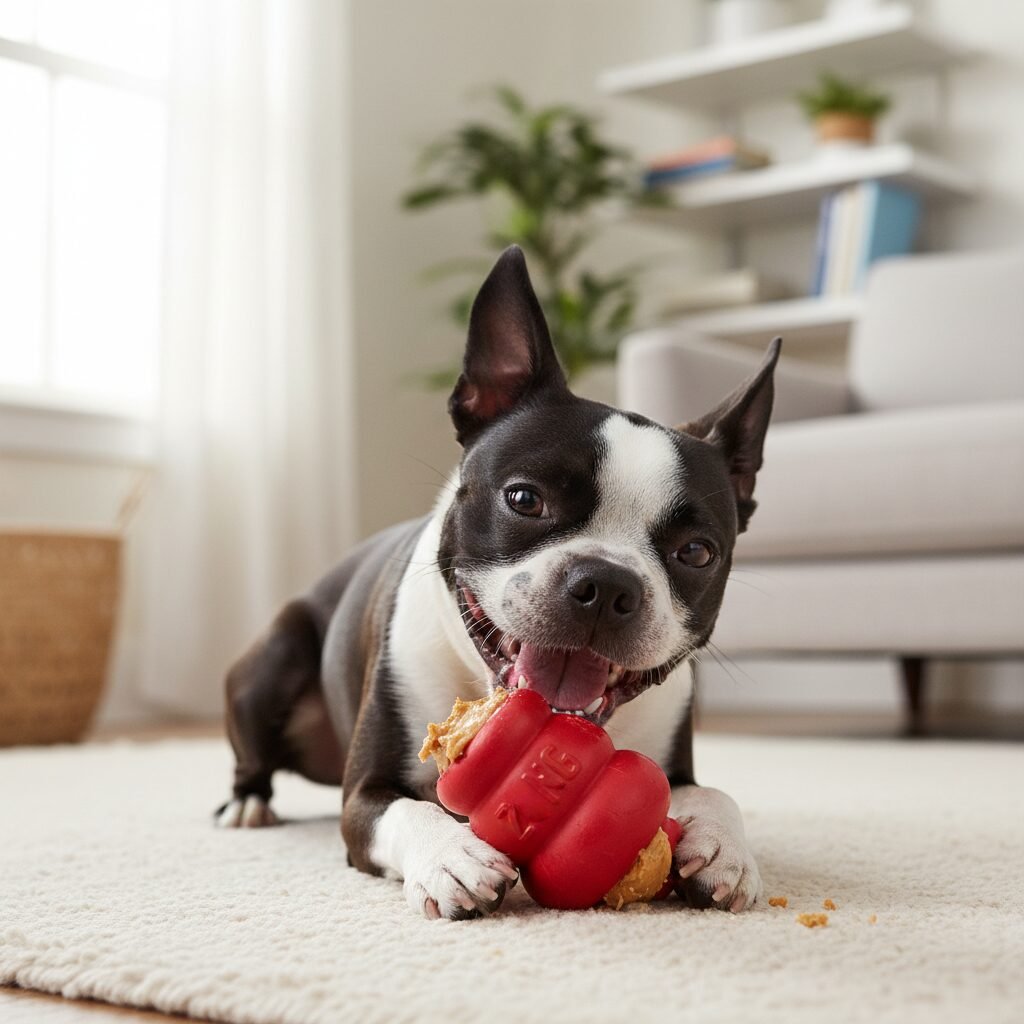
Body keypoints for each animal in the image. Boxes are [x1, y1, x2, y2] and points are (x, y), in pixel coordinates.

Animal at [216, 245, 779, 920]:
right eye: (524, 499)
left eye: (696, 552)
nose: (606, 583)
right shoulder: (365, 797)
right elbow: (408, 812)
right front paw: (451, 858)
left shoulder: (679, 772)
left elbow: (717, 793)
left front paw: (725, 848)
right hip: (273, 656)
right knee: (253, 751)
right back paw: (247, 803)